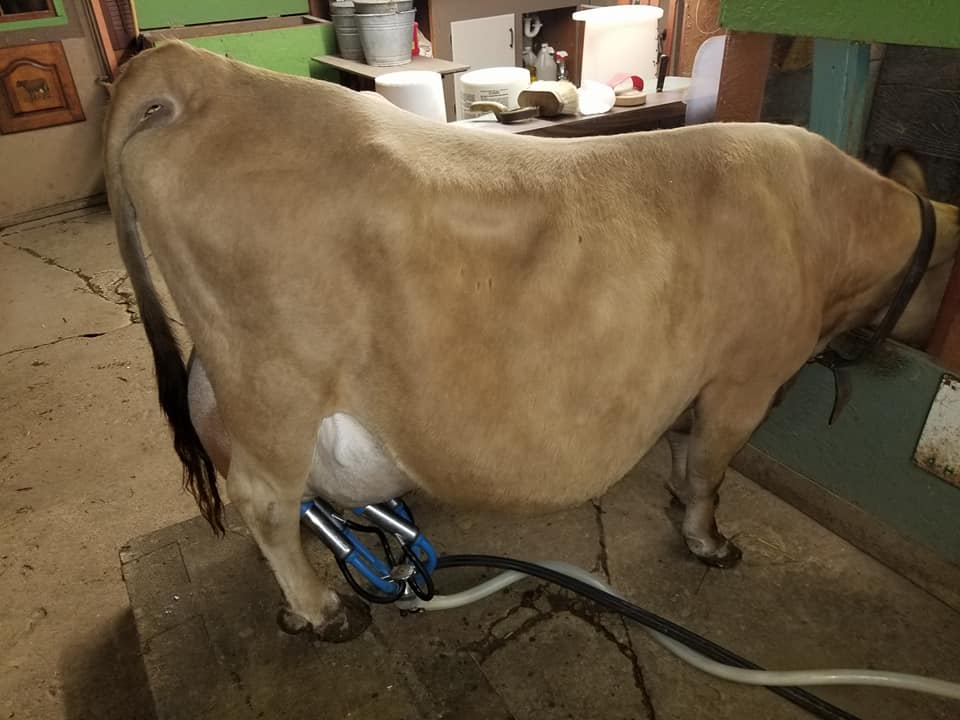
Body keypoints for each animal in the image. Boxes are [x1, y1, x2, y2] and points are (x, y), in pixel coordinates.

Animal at [103, 41, 959, 642]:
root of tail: (189, 68)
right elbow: (710, 470)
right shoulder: (745, 380)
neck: (828, 217)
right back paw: (320, 609)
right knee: (265, 499)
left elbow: (686, 453)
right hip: (275, 381)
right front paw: (707, 540)